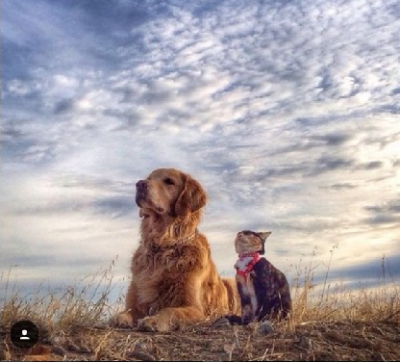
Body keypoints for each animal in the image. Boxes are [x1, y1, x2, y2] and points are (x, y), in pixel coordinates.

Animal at [111, 168, 239, 332]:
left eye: (169, 181)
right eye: (149, 178)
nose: (139, 184)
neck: (162, 245)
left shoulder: (196, 310)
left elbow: (171, 311)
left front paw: (154, 320)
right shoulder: (136, 302)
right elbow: (127, 312)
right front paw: (120, 318)